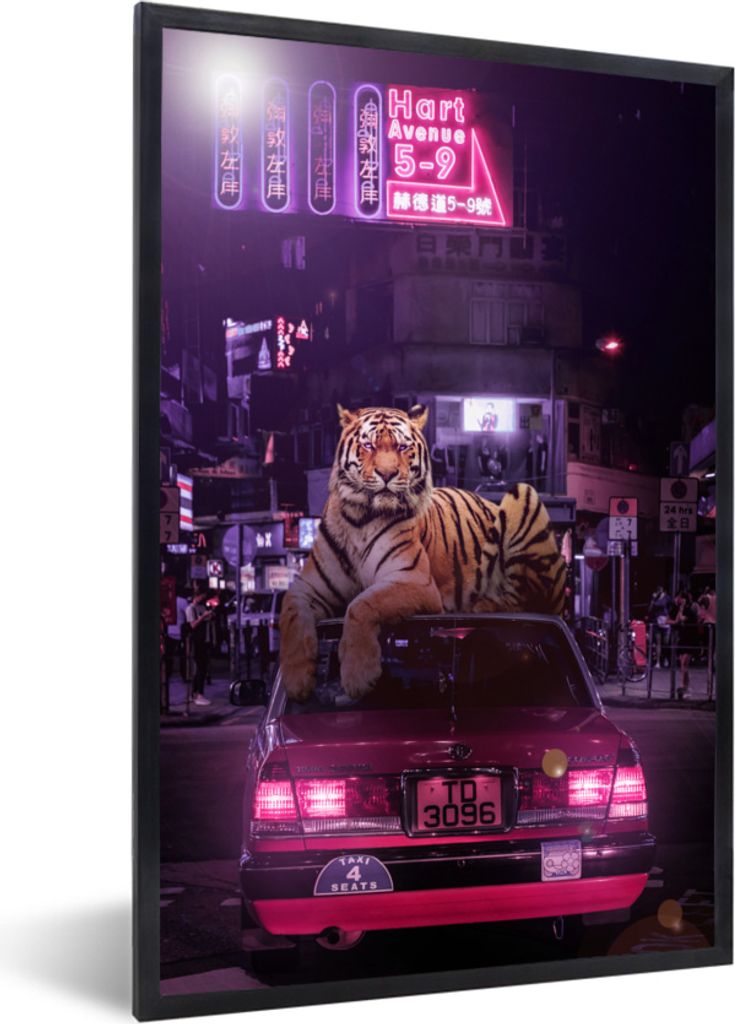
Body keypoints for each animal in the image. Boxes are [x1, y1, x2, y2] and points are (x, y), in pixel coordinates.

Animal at [279, 404, 566, 700]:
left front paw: (359, 675)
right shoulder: (308, 587)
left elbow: (361, 604)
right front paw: (297, 679)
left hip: (524, 495)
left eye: (403, 446)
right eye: (368, 445)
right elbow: (290, 612)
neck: (360, 517)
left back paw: (480, 603)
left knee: (525, 599)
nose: (387, 474)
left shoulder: (412, 580)